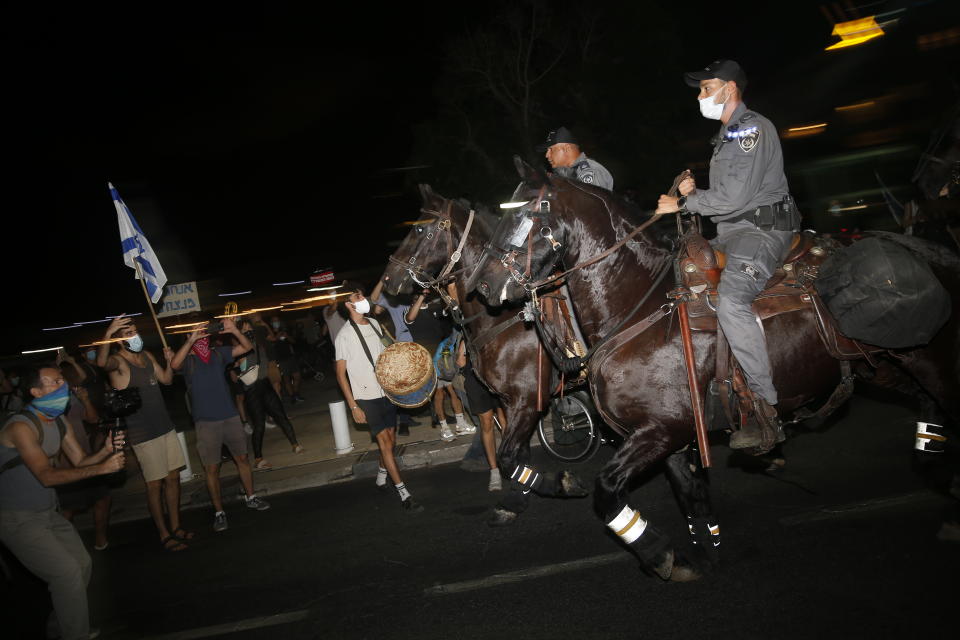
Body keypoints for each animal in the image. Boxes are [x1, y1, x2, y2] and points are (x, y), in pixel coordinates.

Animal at [470, 159, 960, 580]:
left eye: (524, 213)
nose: (485, 286)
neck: (640, 307)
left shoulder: (660, 430)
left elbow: (607, 491)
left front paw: (657, 551)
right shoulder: (665, 435)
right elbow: (692, 498)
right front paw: (703, 550)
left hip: (931, 361)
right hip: (887, 365)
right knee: (927, 408)